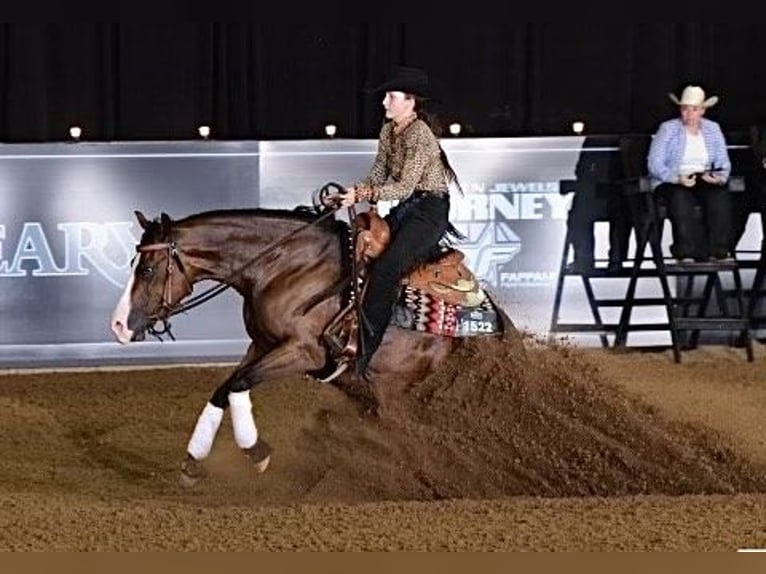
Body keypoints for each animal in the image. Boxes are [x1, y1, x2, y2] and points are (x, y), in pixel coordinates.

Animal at [110, 206, 519, 484]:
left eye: (147, 269)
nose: (118, 326)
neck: (283, 267)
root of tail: (497, 325)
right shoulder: (261, 345)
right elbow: (223, 389)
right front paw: (193, 462)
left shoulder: (304, 352)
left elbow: (239, 385)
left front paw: (257, 452)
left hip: (399, 394)